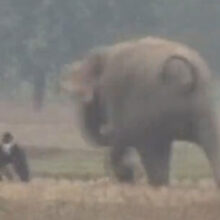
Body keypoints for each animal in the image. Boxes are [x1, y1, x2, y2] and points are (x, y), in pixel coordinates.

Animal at [61, 36, 220, 187]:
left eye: (79, 96)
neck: (103, 52)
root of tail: (184, 72)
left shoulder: (114, 89)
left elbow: (121, 136)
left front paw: (126, 175)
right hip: (202, 102)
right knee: (208, 141)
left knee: (145, 145)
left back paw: (155, 182)